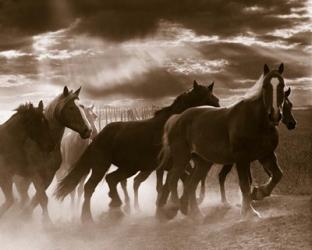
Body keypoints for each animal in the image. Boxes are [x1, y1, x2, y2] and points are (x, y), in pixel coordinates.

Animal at [13, 86, 91, 223]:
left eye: (82, 106)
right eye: (71, 107)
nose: (88, 130)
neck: (43, 145)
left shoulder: (49, 175)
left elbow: (38, 197)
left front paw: (28, 216)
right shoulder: (35, 174)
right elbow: (42, 198)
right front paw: (47, 223)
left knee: (23, 194)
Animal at [56, 80, 221, 223]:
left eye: (215, 97)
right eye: (207, 98)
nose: (219, 110)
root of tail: (97, 136)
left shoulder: (174, 166)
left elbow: (184, 182)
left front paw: (181, 208)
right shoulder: (168, 166)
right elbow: (170, 184)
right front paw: (172, 209)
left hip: (129, 167)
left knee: (112, 179)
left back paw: (117, 207)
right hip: (102, 166)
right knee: (90, 187)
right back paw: (88, 218)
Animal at [157, 63, 288, 221]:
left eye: (282, 85)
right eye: (265, 86)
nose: (275, 115)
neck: (255, 120)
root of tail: (177, 118)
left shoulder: (266, 155)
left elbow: (278, 175)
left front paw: (258, 192)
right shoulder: (241, 158)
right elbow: (244, 184)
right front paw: (249, 211)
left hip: (203, 162)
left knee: (190, 184)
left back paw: (196, 214)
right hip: (182, 158)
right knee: (172, 179)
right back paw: (173, 207)